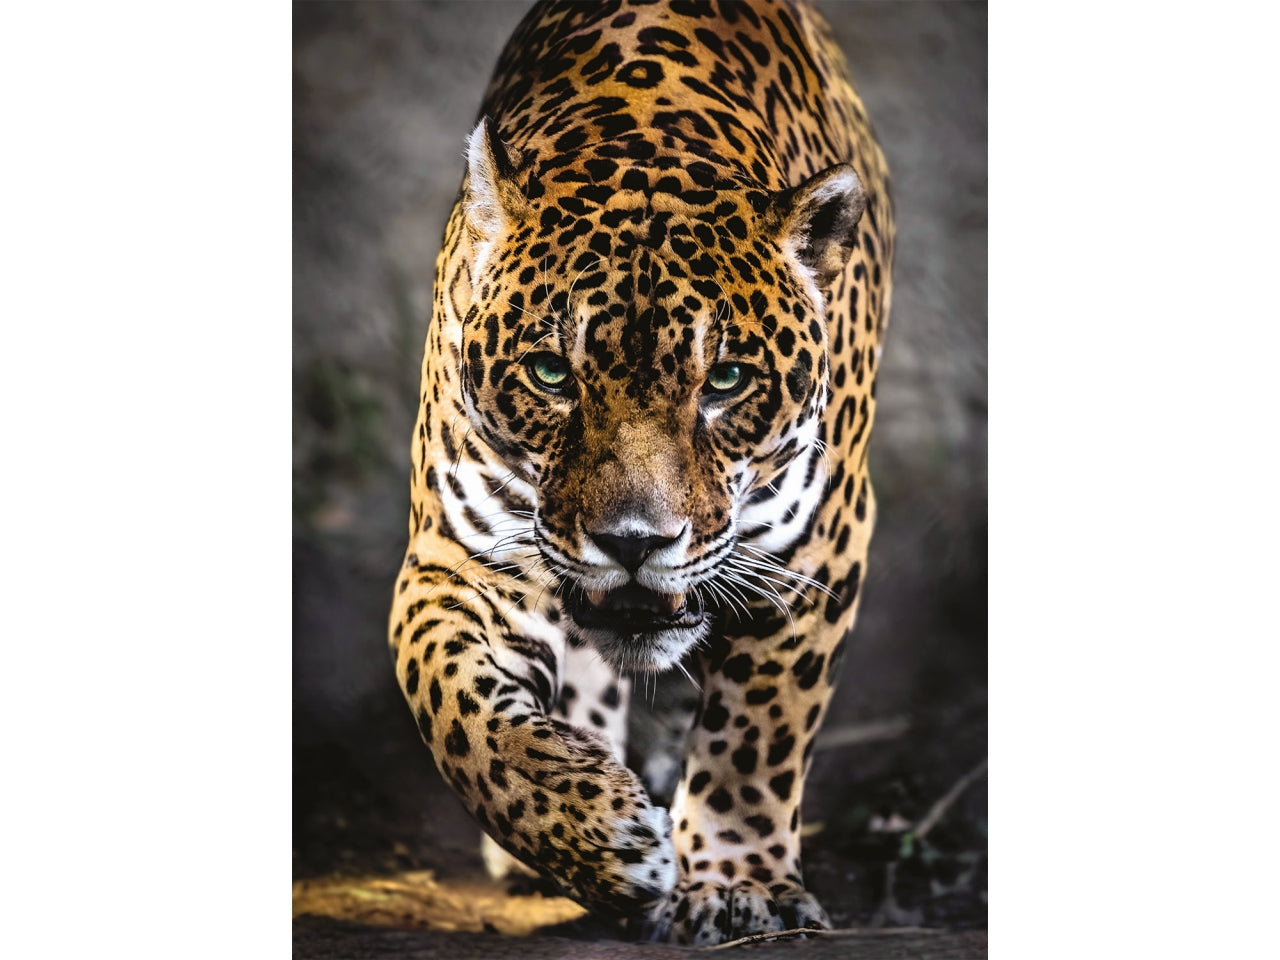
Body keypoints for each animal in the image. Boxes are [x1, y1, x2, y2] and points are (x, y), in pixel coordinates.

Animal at [389, 0, 893, 944]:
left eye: (725, 380)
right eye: (552, 373)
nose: (633, 543)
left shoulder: (815, 553)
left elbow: (757, 734)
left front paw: (737, 885)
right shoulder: (456, 557)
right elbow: (455, 707)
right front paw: (596, 836)